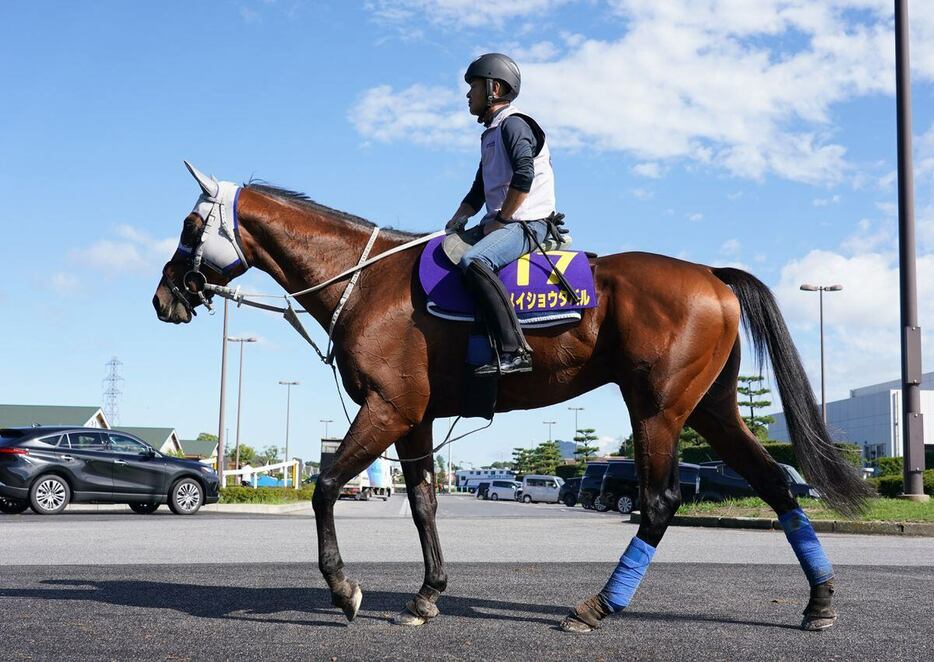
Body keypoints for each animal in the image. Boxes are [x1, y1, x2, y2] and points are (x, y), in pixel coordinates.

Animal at [150, 165, 872, 632]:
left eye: (188, 222)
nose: (162, 296)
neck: (368, 281)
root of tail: (710, 276)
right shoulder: (414, 418)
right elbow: (423, 505)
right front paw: (427, 595)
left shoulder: (387, 407)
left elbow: (326, 487)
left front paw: (344, 589)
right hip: (712, 409)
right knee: (775, 484)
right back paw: (820, 600)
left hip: (658, 409)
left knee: (661, 501)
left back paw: (600, 605)